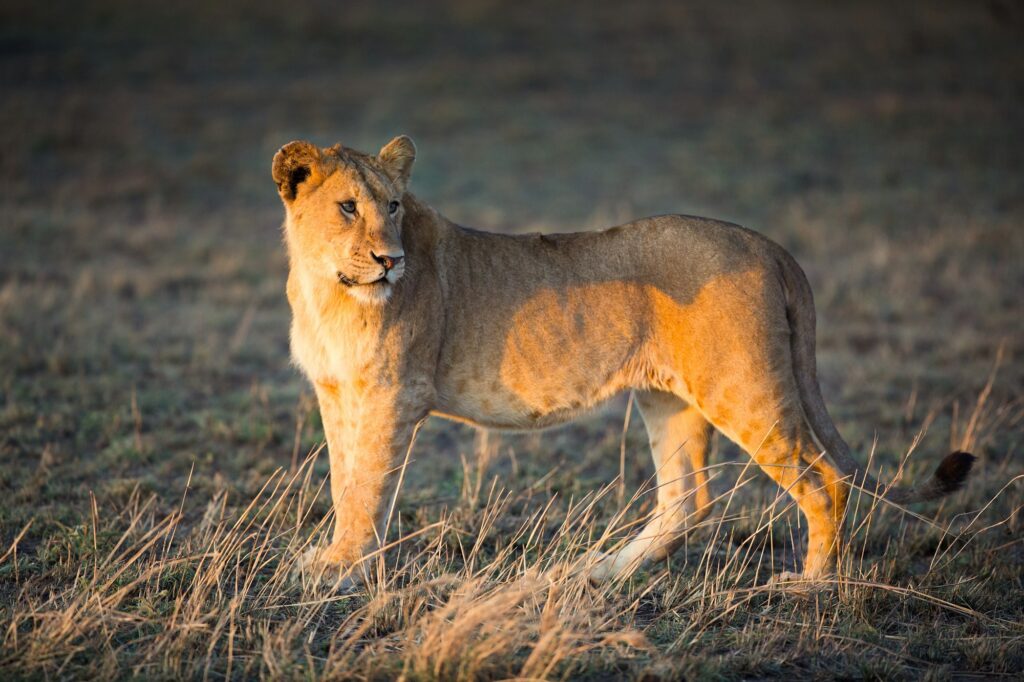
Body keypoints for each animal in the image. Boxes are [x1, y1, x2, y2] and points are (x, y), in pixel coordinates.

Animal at [272, 135, 974, 581]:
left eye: (392, 205)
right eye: (347, 206)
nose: (390, 259)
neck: (325, 286)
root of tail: (769, 245)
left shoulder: (394, 394)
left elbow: (368, 485)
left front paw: (343, 571)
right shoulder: (337, 392)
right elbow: (343, 480)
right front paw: (334, 560)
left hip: (744, 389)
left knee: (824, 480)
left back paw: (813, 585)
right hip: (669, 400)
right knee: (687, 502)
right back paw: (603, 572)